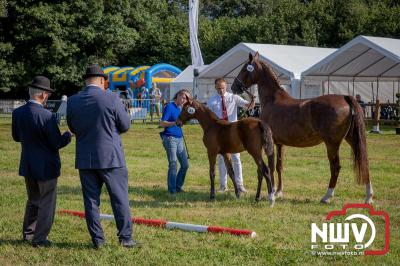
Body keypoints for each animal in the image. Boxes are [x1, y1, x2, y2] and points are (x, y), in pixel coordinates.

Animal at [230, 53, 374, 204]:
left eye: (245, 69)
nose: (233, 87)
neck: (272, 100)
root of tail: (345, 98)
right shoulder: (280, 143)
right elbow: (279, 166)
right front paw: (279, 191)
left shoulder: (271, 142)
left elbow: (270, 166)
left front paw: (273, 192)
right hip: (352, 138)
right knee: (364, 162)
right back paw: (368, 197)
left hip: (332, 143)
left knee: (335, 167)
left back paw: (327, 196)